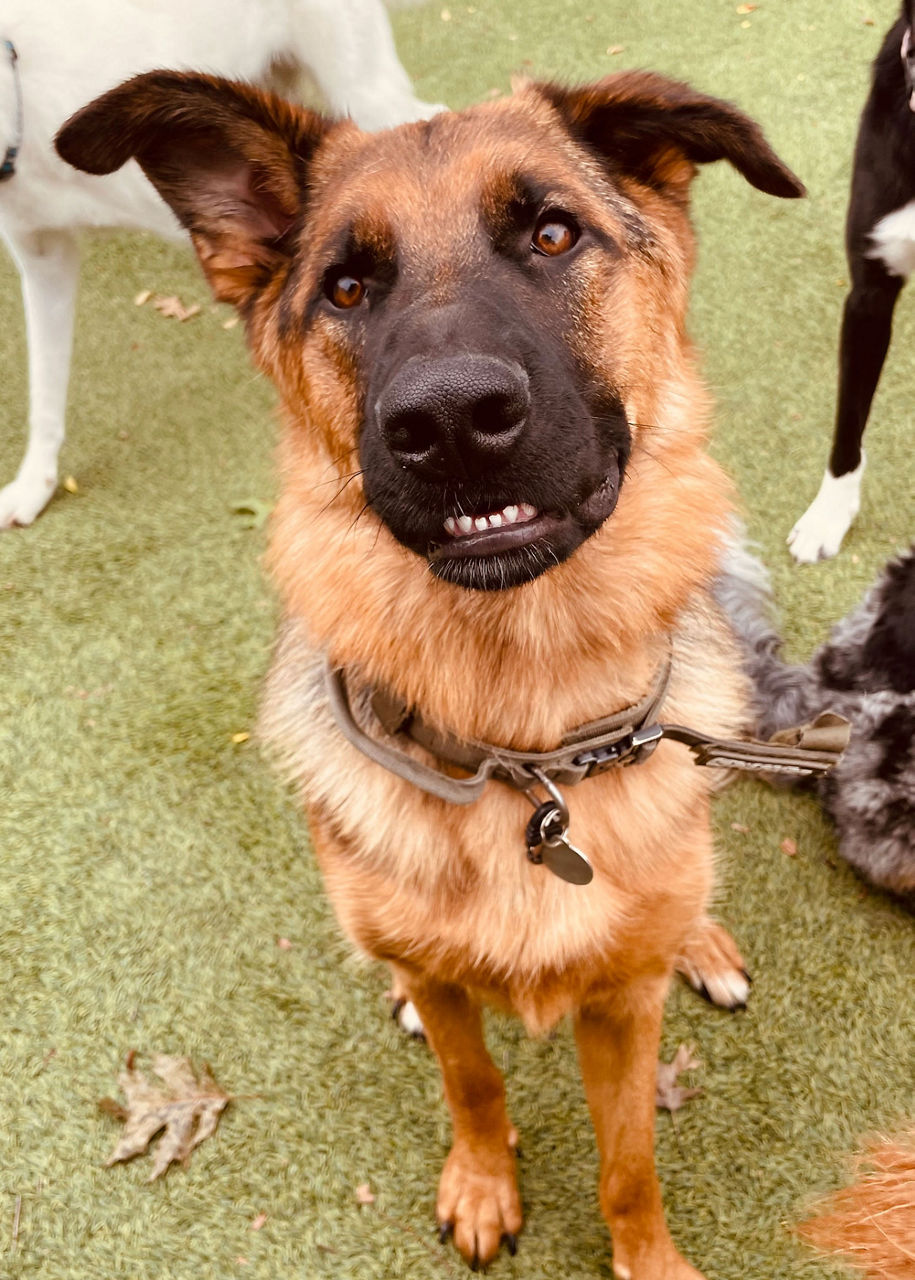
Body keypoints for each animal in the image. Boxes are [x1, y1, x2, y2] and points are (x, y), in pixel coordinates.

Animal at [55, 72, 803, 1280]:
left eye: (552, 233)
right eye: (347, 286)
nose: (449, 419)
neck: (520, 751)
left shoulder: (622, 1012)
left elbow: (628, 1159)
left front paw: (646, 1255)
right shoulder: (454, 998)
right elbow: (473, 1079)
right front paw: (484, 1183)